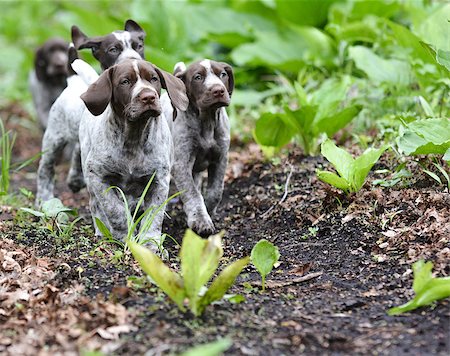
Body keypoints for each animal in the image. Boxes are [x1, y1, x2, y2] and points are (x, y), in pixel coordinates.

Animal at [37, 19, 146, 204]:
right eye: (113, 49)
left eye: (138, 46)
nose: (133, 61)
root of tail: (73, 80)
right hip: (53, 137)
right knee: (46, 169)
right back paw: (44, 198)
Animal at [79, 59, 188, 250]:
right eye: (125, 81)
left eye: (153, 79)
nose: (149, 97)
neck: (133, 137)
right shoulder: (97, 177)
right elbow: (114, 209)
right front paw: (124, 236)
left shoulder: (159, 181)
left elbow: (153, 215)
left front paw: (149, 243)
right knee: (95, 205)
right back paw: (102, 231)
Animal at [160, 59, 234, 236]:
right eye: (198, 77)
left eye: (223, 74)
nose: (218, 90)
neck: (207, 120)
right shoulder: (181, 164)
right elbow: (192, 194)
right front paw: (200, 220)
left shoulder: (221, 159)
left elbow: (215, 191)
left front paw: (209, 211)